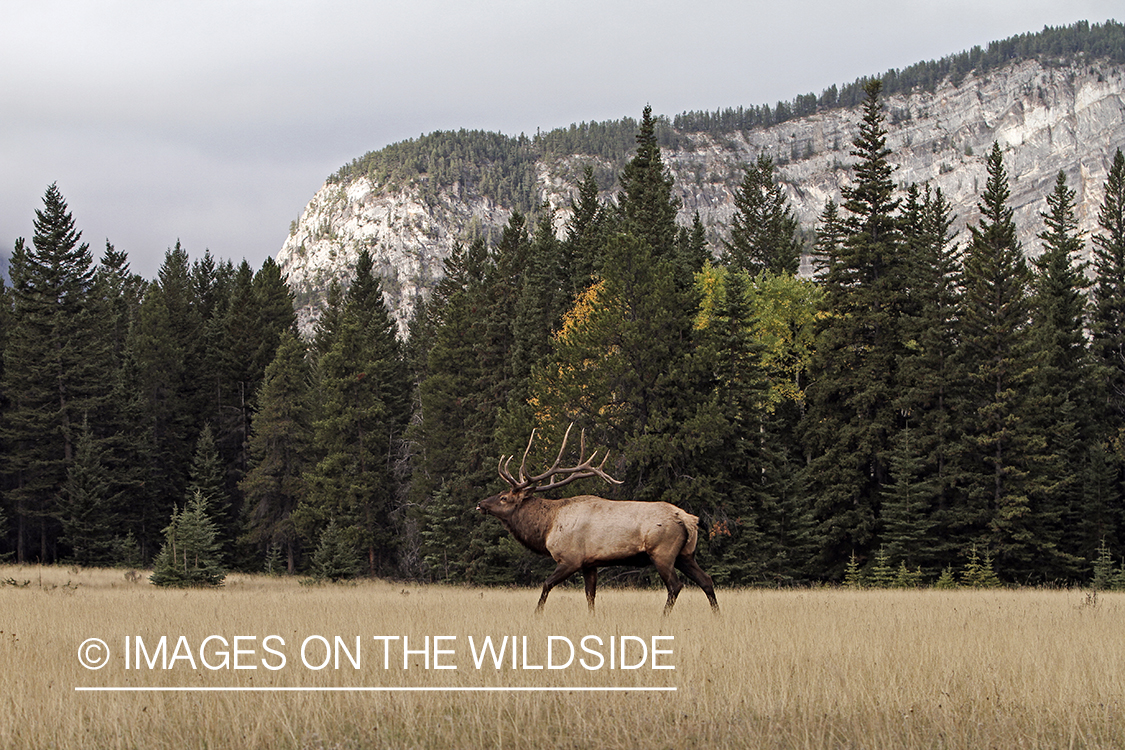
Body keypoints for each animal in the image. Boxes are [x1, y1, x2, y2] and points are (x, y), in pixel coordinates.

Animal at [476, 424, 719, 615]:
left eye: (504, 498)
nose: (480, 504)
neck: (547, 528)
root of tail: (689, 519)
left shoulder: (570, 558)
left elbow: (546, 585)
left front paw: (536, 614)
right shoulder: (589, 563)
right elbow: (590, 596)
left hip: (662, 551)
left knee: (676, 586)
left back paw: (664, 617)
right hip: (685, 554)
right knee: (706, 580)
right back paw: (717, 615)